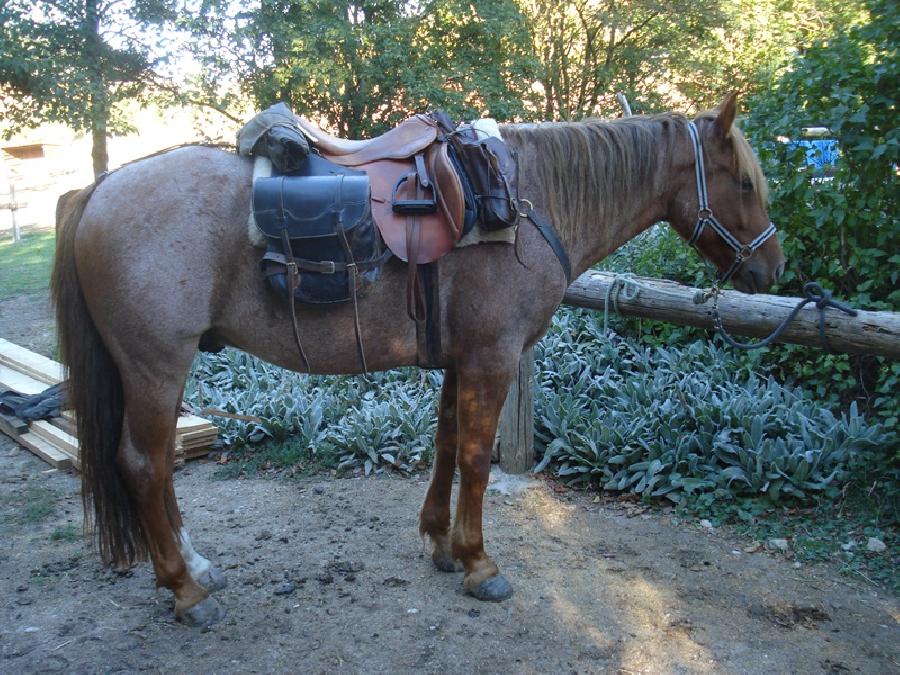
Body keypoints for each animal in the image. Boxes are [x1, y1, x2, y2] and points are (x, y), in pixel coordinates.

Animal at [51, 92, 780, 624]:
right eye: (744, 182)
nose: (771, 268)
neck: (523, 199)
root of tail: (99, 190)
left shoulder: (462, 357)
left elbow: (447, 443)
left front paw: (439, 543)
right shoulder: (493, 357)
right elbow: (478, 461)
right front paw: (480, 564)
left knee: (160, 467)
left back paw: (196, 567)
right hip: (155, 366)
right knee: (143, 464)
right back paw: (184, 589)